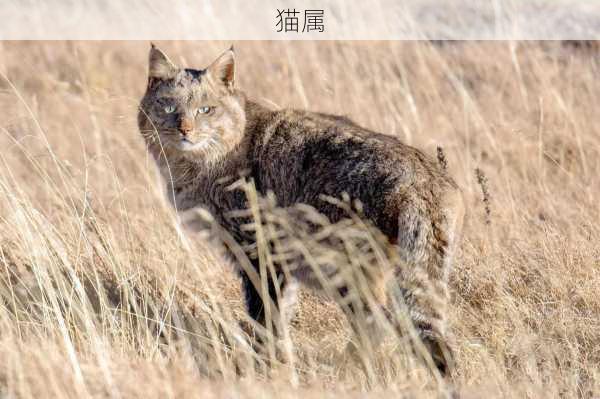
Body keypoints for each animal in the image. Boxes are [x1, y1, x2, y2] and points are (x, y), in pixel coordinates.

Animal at [139, 45, 464, 376]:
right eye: (168, 107)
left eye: (206, 110)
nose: (184, 130)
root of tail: (425, 178)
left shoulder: (260, 251)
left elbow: (265, 317)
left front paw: (264, 367)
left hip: (342, 265)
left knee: (378, 321)